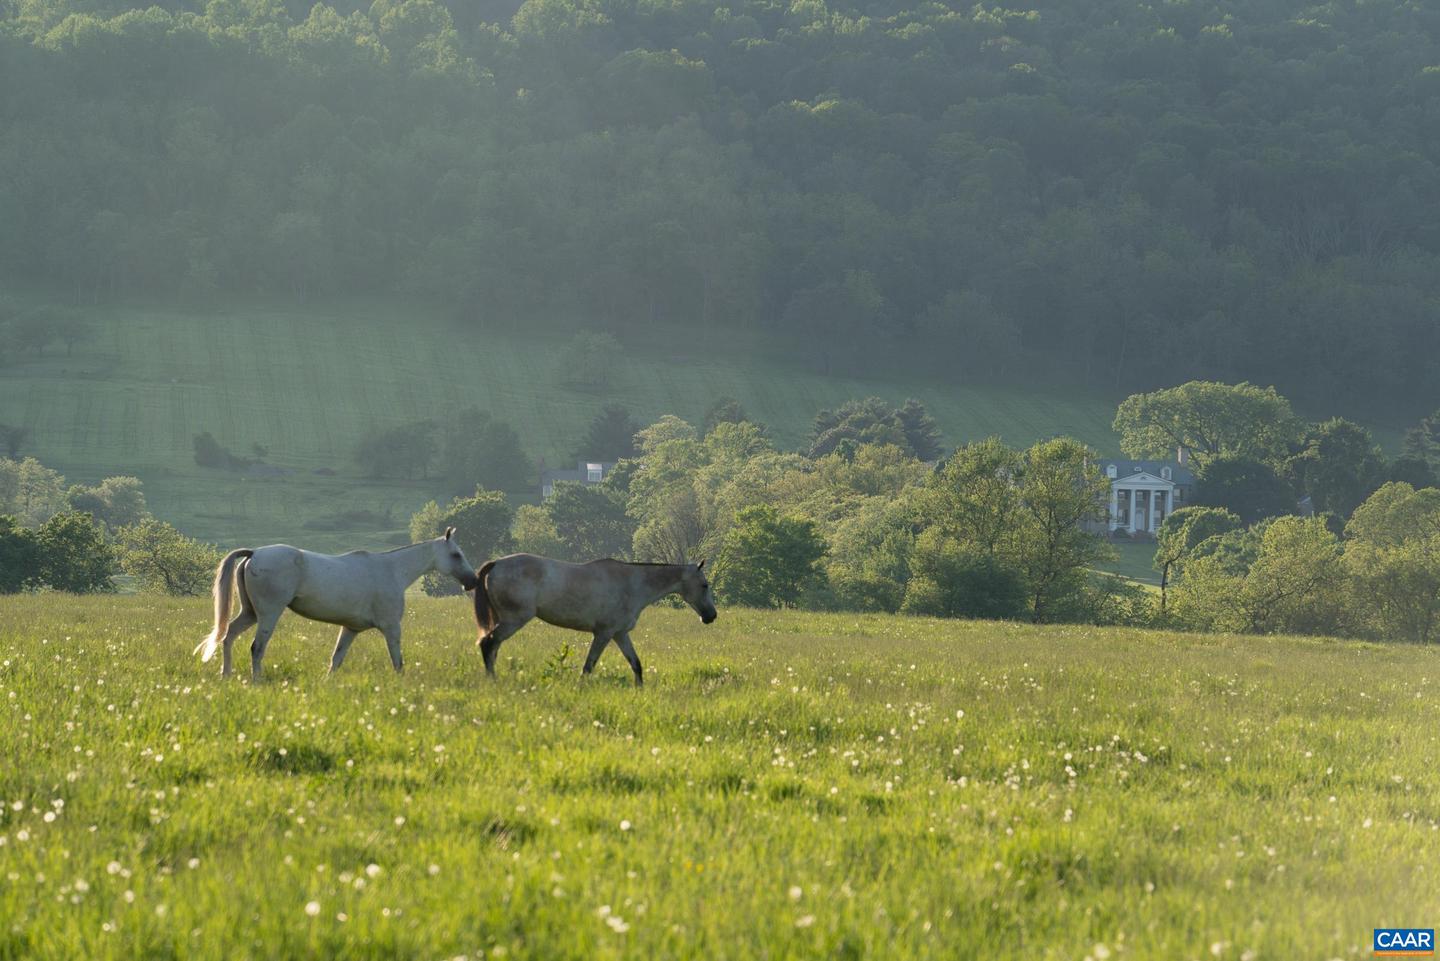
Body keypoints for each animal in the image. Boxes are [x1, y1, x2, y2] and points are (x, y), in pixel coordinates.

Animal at [195, 530, 478, 680]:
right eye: (456, 555)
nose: (472, 581)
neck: (392, 571)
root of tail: (254, 553)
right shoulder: (391, 628)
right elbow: (397, 660)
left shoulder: (350, 629)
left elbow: (336, 659)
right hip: (268, 615)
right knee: (256, 648)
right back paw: (256, 681)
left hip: (250, 613)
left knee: (228, 636)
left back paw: (225, 675)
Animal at [475, 556, 717, 682]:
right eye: (704, 585)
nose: (711, 616)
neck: (632, 584)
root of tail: (496, 564)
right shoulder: (604, 633)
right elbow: (588, 667)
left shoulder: (620, 634)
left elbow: (636, 665)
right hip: (513, 621)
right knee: (488, 644)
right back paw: (492, 680)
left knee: (493, 648)